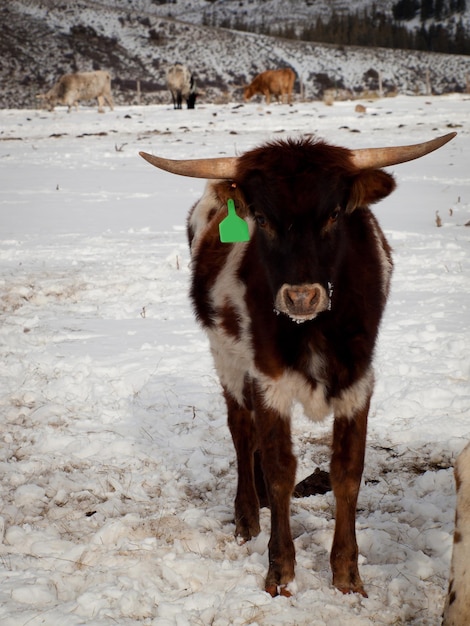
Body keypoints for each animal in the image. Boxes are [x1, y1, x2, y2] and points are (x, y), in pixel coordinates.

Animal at [140, 130, 456, 596]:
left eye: (334, 213)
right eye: (261, 217)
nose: (301, 297)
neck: (314, 328)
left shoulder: (358, 381)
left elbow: (347, 471)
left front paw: (347, 576)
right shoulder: (268, 379)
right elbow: (280, 468)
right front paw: (280, 572)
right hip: (226, 357)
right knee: (241, 430)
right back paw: (248, 514)